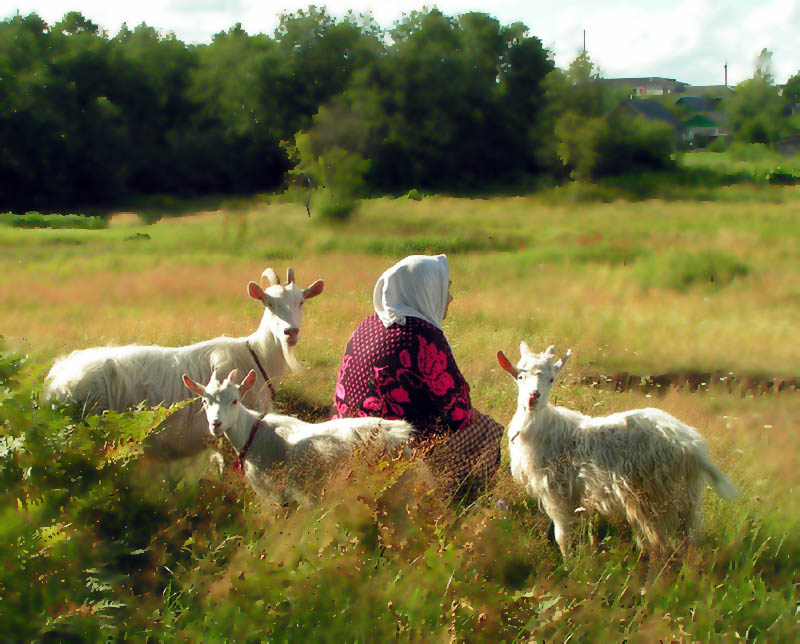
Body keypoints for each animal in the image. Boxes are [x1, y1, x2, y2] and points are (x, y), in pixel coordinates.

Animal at [182, 369, 415, 504]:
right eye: (204, 401)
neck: (253, 432)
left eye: (235, 401)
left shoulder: (271, 492)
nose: (216, 424)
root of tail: (399, 434)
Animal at [497, 342, 737, 559]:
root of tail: (693, 447)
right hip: (685, 495)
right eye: (520, 377)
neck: (541, 428)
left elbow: (562, 537)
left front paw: (569, 566)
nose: (533, 397)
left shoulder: (556, 493)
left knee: (661, 541)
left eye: (551, 379)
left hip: (656, 495)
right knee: (687, 535)